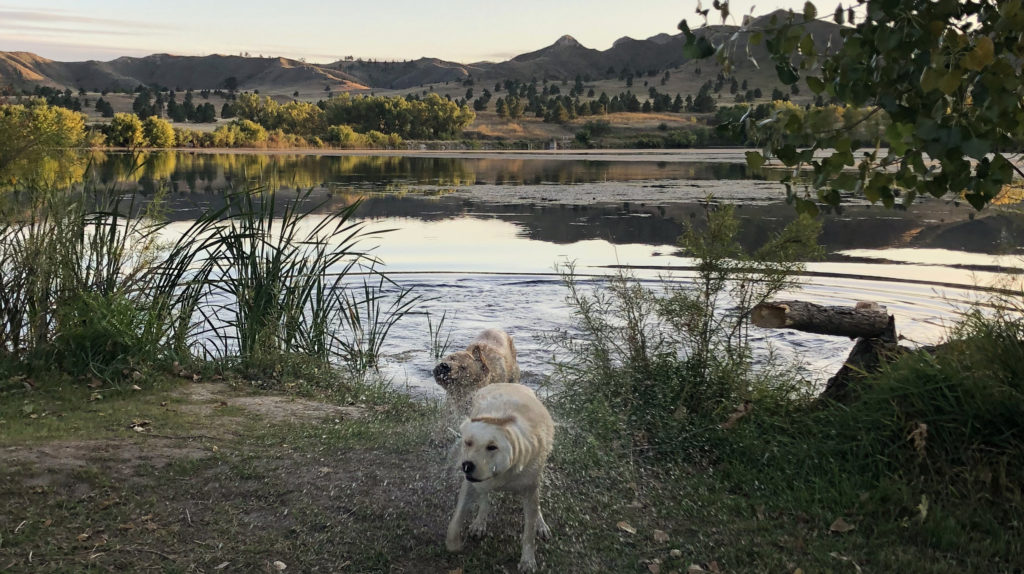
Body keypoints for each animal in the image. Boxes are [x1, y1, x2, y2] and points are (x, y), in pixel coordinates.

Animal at [442, 380, 552, 572]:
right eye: (468, 442)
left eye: (492, 447)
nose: (466, 466)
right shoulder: (470, 484)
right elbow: (458, 515)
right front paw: (453, 542)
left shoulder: (529, 488)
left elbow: (529, 532)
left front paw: (528, 561)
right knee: (484, 497)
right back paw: (479, 522)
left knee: (536, 503)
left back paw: (541, 524)